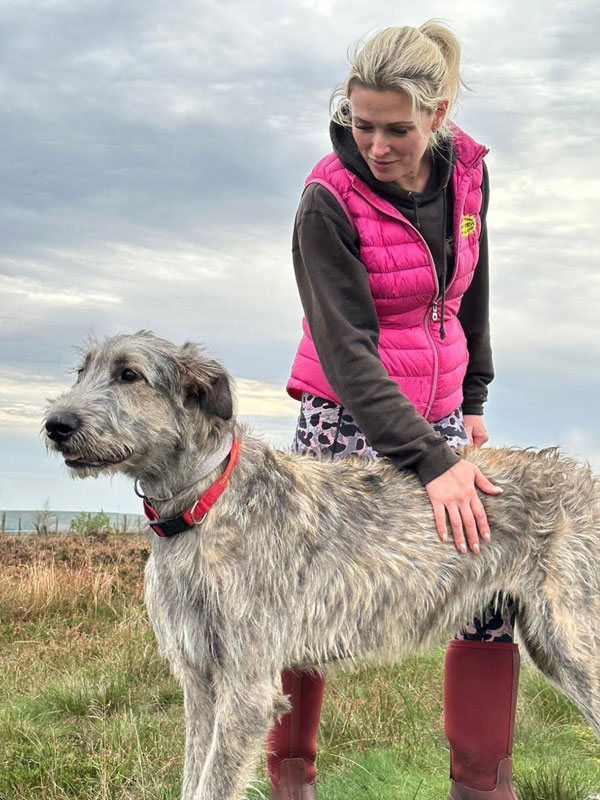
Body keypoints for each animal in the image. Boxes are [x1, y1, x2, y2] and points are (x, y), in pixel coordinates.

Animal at [44, 330, 600, 800]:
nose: (55, 425)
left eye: (129, 374)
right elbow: (194, 774)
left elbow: (213, 783)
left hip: (572, 638)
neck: (204, 500)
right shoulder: (201, 678)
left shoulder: (245, 687)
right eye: (82, 371)